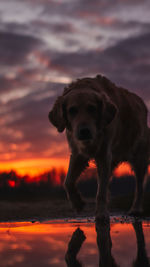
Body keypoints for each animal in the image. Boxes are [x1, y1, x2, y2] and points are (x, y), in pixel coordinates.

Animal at [48, 75, 149, 220]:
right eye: (72, 110)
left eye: (92, 108)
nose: (84, 131)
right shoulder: (78, 154)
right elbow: (68, 182)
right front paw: (77, 203)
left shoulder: (103, 155)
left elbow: (100, 191)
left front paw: (101, 214)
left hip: (139, 158)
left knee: (139, 186)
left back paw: (135, 209)